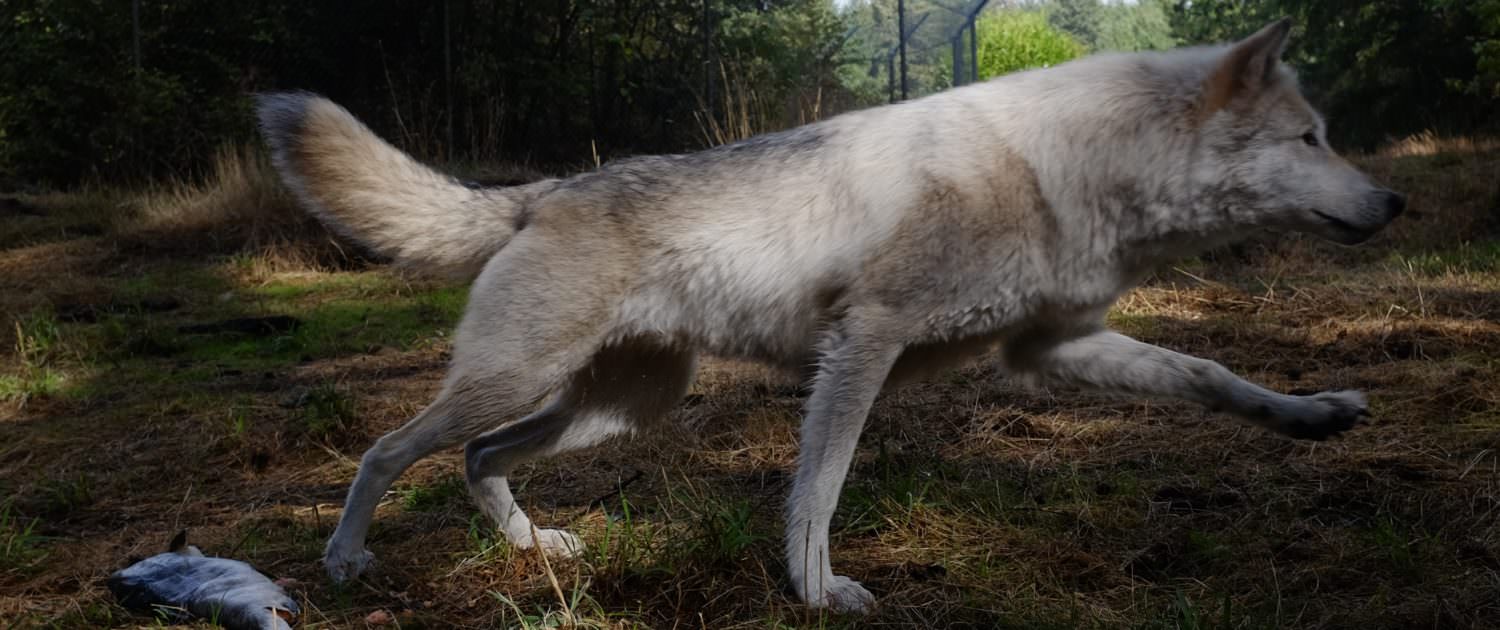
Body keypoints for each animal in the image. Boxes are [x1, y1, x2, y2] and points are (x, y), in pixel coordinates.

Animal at [255, 18, 1404, 609]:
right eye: (1310, 138)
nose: (1394, 203)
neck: (1067, 173)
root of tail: (542, 190)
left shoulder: (1048, 350)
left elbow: (1216, 379)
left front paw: (1316, 415)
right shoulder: (866, 344)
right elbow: (821, 487)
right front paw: (818, 592)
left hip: (614, 409)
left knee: (474, 459)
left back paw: (540, 549)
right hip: (522, 384)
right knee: (389, 452)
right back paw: (344, 563)